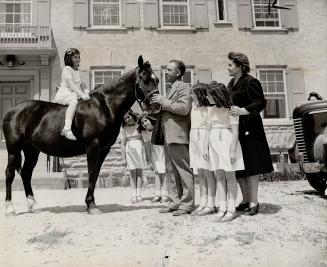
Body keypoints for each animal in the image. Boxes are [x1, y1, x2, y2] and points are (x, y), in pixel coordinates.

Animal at [3, 55, 160, 217]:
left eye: (157, 80)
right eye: (144, 79)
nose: (156, 106)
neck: (103, 107)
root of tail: (11, 111)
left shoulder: (104, 149)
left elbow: (96, 174)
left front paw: (91, 203)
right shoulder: (92, 145)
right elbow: (91, 172)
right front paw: (91, 205)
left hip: (32, 150)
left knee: (26, 173)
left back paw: (33, 206)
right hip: (14, 149)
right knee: (9, 173)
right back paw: (10, 209)